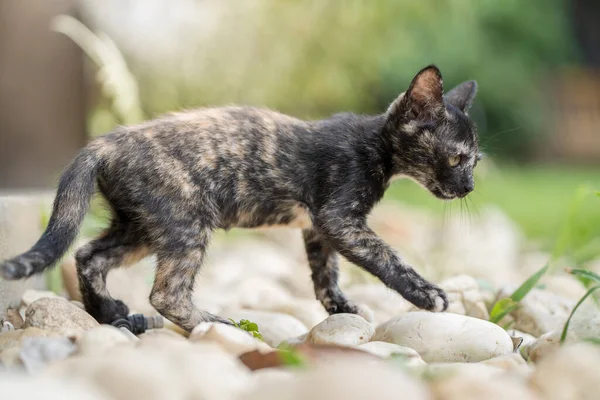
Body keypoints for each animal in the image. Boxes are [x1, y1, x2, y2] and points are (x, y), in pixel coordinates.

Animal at [0, 64, 478, 330]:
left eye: (475, 161)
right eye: (457, 158)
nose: (470, 187)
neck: (373, 145)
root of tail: (104, 143)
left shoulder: (317, 228)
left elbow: (325, 273)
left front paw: (340, 307)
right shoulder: (340, 219)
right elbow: (385, 257)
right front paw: (426, 294)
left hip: (141, 225)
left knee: (88, 255)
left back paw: (109, 314)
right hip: (186, 224)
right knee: (165, 294)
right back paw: (215, 324)